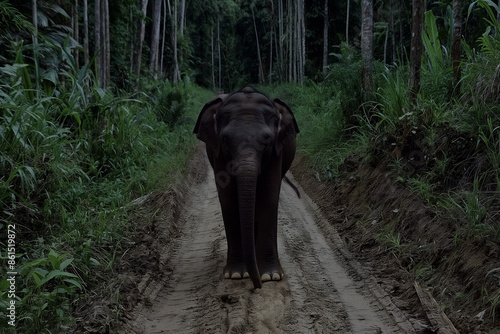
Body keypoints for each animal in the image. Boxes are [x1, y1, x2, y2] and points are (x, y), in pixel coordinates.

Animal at [193, 87, 298, 290]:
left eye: (267, 140)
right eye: (226, 139)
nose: (257, 286)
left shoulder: (276, 151)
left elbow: (269, 196)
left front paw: (271, 276)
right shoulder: (218, 152)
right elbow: (227, 198)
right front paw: (235, 274)